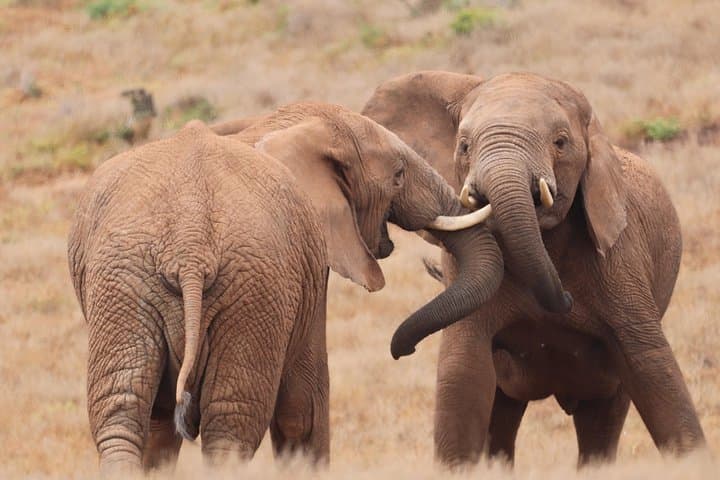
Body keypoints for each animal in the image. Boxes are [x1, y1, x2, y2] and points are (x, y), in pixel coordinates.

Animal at [67, 102, 502, 474]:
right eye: (398, 174)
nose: (402, 351)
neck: (287, 123)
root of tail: (190, 249)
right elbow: (304, 403)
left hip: (129, 287)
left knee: (124, 415)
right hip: (247, 290)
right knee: (232, 424)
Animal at [362, 71, 706, 466]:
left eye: (560, 142)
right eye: (464, 146)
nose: (402, 351)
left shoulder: (620, 259)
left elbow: (654, 369)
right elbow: (461, 377)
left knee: (603, 420)